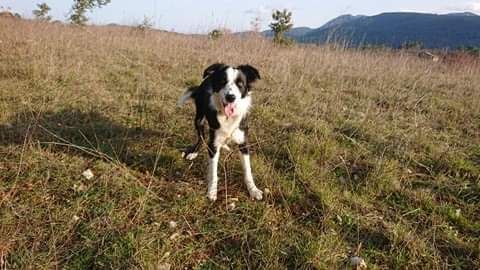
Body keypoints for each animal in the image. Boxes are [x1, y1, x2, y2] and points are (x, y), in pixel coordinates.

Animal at [179, 63, 264, 201]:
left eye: (240, 84)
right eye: (222, 82)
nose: (230, 97)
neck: (228, 117)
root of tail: (207, 78)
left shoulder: (243, 143)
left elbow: (248, 170)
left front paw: (253, 190)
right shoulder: (213, 144)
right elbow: (213, 171)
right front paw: (212, 191)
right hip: (199, 119)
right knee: (201, 137)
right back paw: (194, 152)